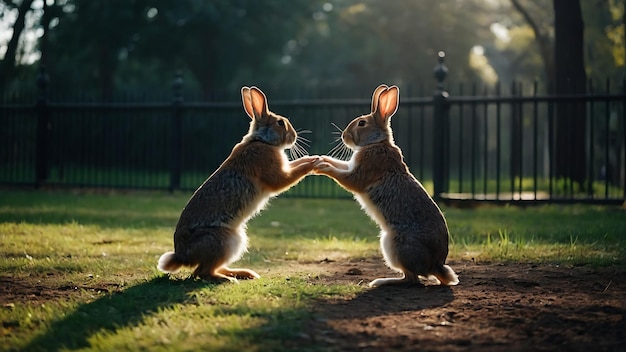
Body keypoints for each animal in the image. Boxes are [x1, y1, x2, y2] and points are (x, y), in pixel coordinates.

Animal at [158, 86, 320, 284]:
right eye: (280, 123)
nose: (294, 136)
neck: (262, 141)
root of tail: (182, 256)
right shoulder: (275, 175)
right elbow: (290, 176)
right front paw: (313, 163)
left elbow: (295, 165)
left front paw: (312, 158)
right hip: (224, 240)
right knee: (201, 272)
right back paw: (229, 279)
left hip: (235, 242)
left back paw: (245, 273)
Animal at [314, 84, 456, 288]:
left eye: (362, 123)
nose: (344, 136)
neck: (377, 142)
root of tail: (435, 265)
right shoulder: (351, 166)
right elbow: (340, 165)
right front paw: (322, 159)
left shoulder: (359, 175)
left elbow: (343, 176)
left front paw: (322, 167)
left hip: (394, 243)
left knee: (411, 279)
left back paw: (380, 281)